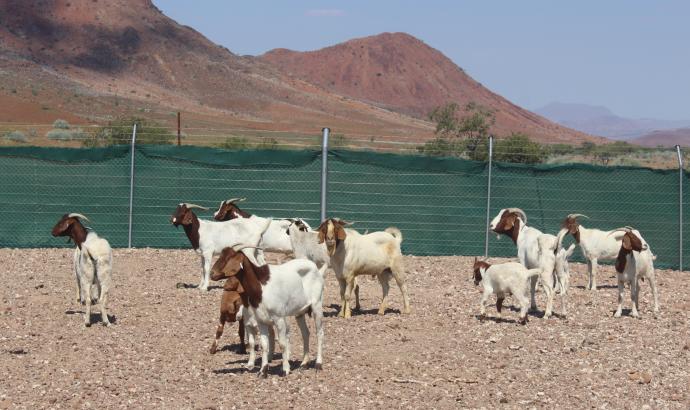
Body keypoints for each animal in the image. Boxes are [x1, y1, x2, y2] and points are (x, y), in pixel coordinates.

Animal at [208, 245, 324, 376]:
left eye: (228, 258)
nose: (212, 274)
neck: (261, 288)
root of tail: (314, 267)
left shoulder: (279, 318)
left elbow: (282, 343)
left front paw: (285, 369)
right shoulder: (261, 320)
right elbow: (264, 344)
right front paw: (263, 371)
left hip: (317, 305)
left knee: (319, 333)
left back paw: (318, 364)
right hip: (300, 312)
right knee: (305, 333)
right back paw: (304, 364)